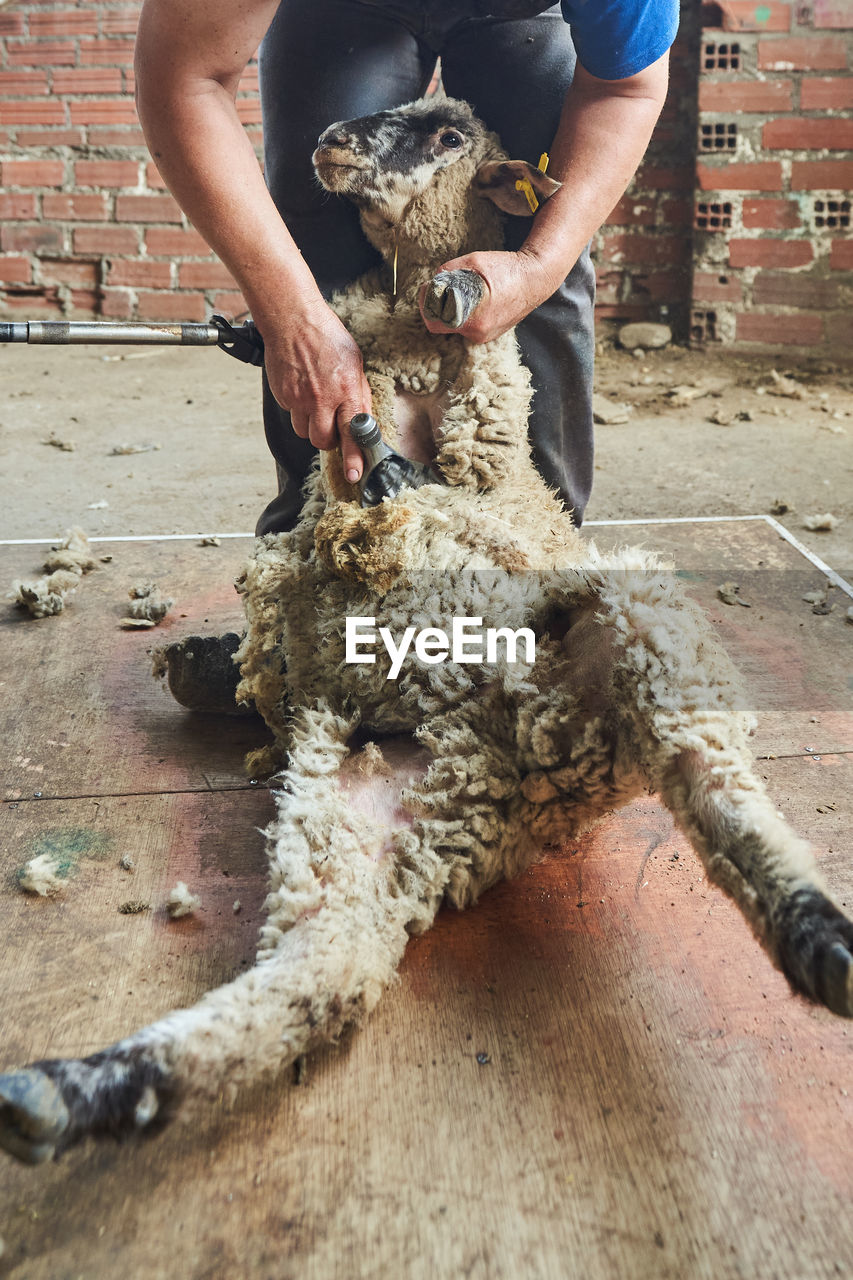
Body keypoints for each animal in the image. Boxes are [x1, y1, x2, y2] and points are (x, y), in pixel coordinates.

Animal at [1, 94, 850, 1167]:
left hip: (635, 627)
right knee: (322, 973)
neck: (403, 348)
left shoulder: (486, 432)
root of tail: (533, 757)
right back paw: (75, 1094)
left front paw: (450, 306)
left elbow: (451, 412)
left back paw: (819, 937)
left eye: (450, 138)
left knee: (708, 777)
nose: (332, 141)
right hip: (372, 816)